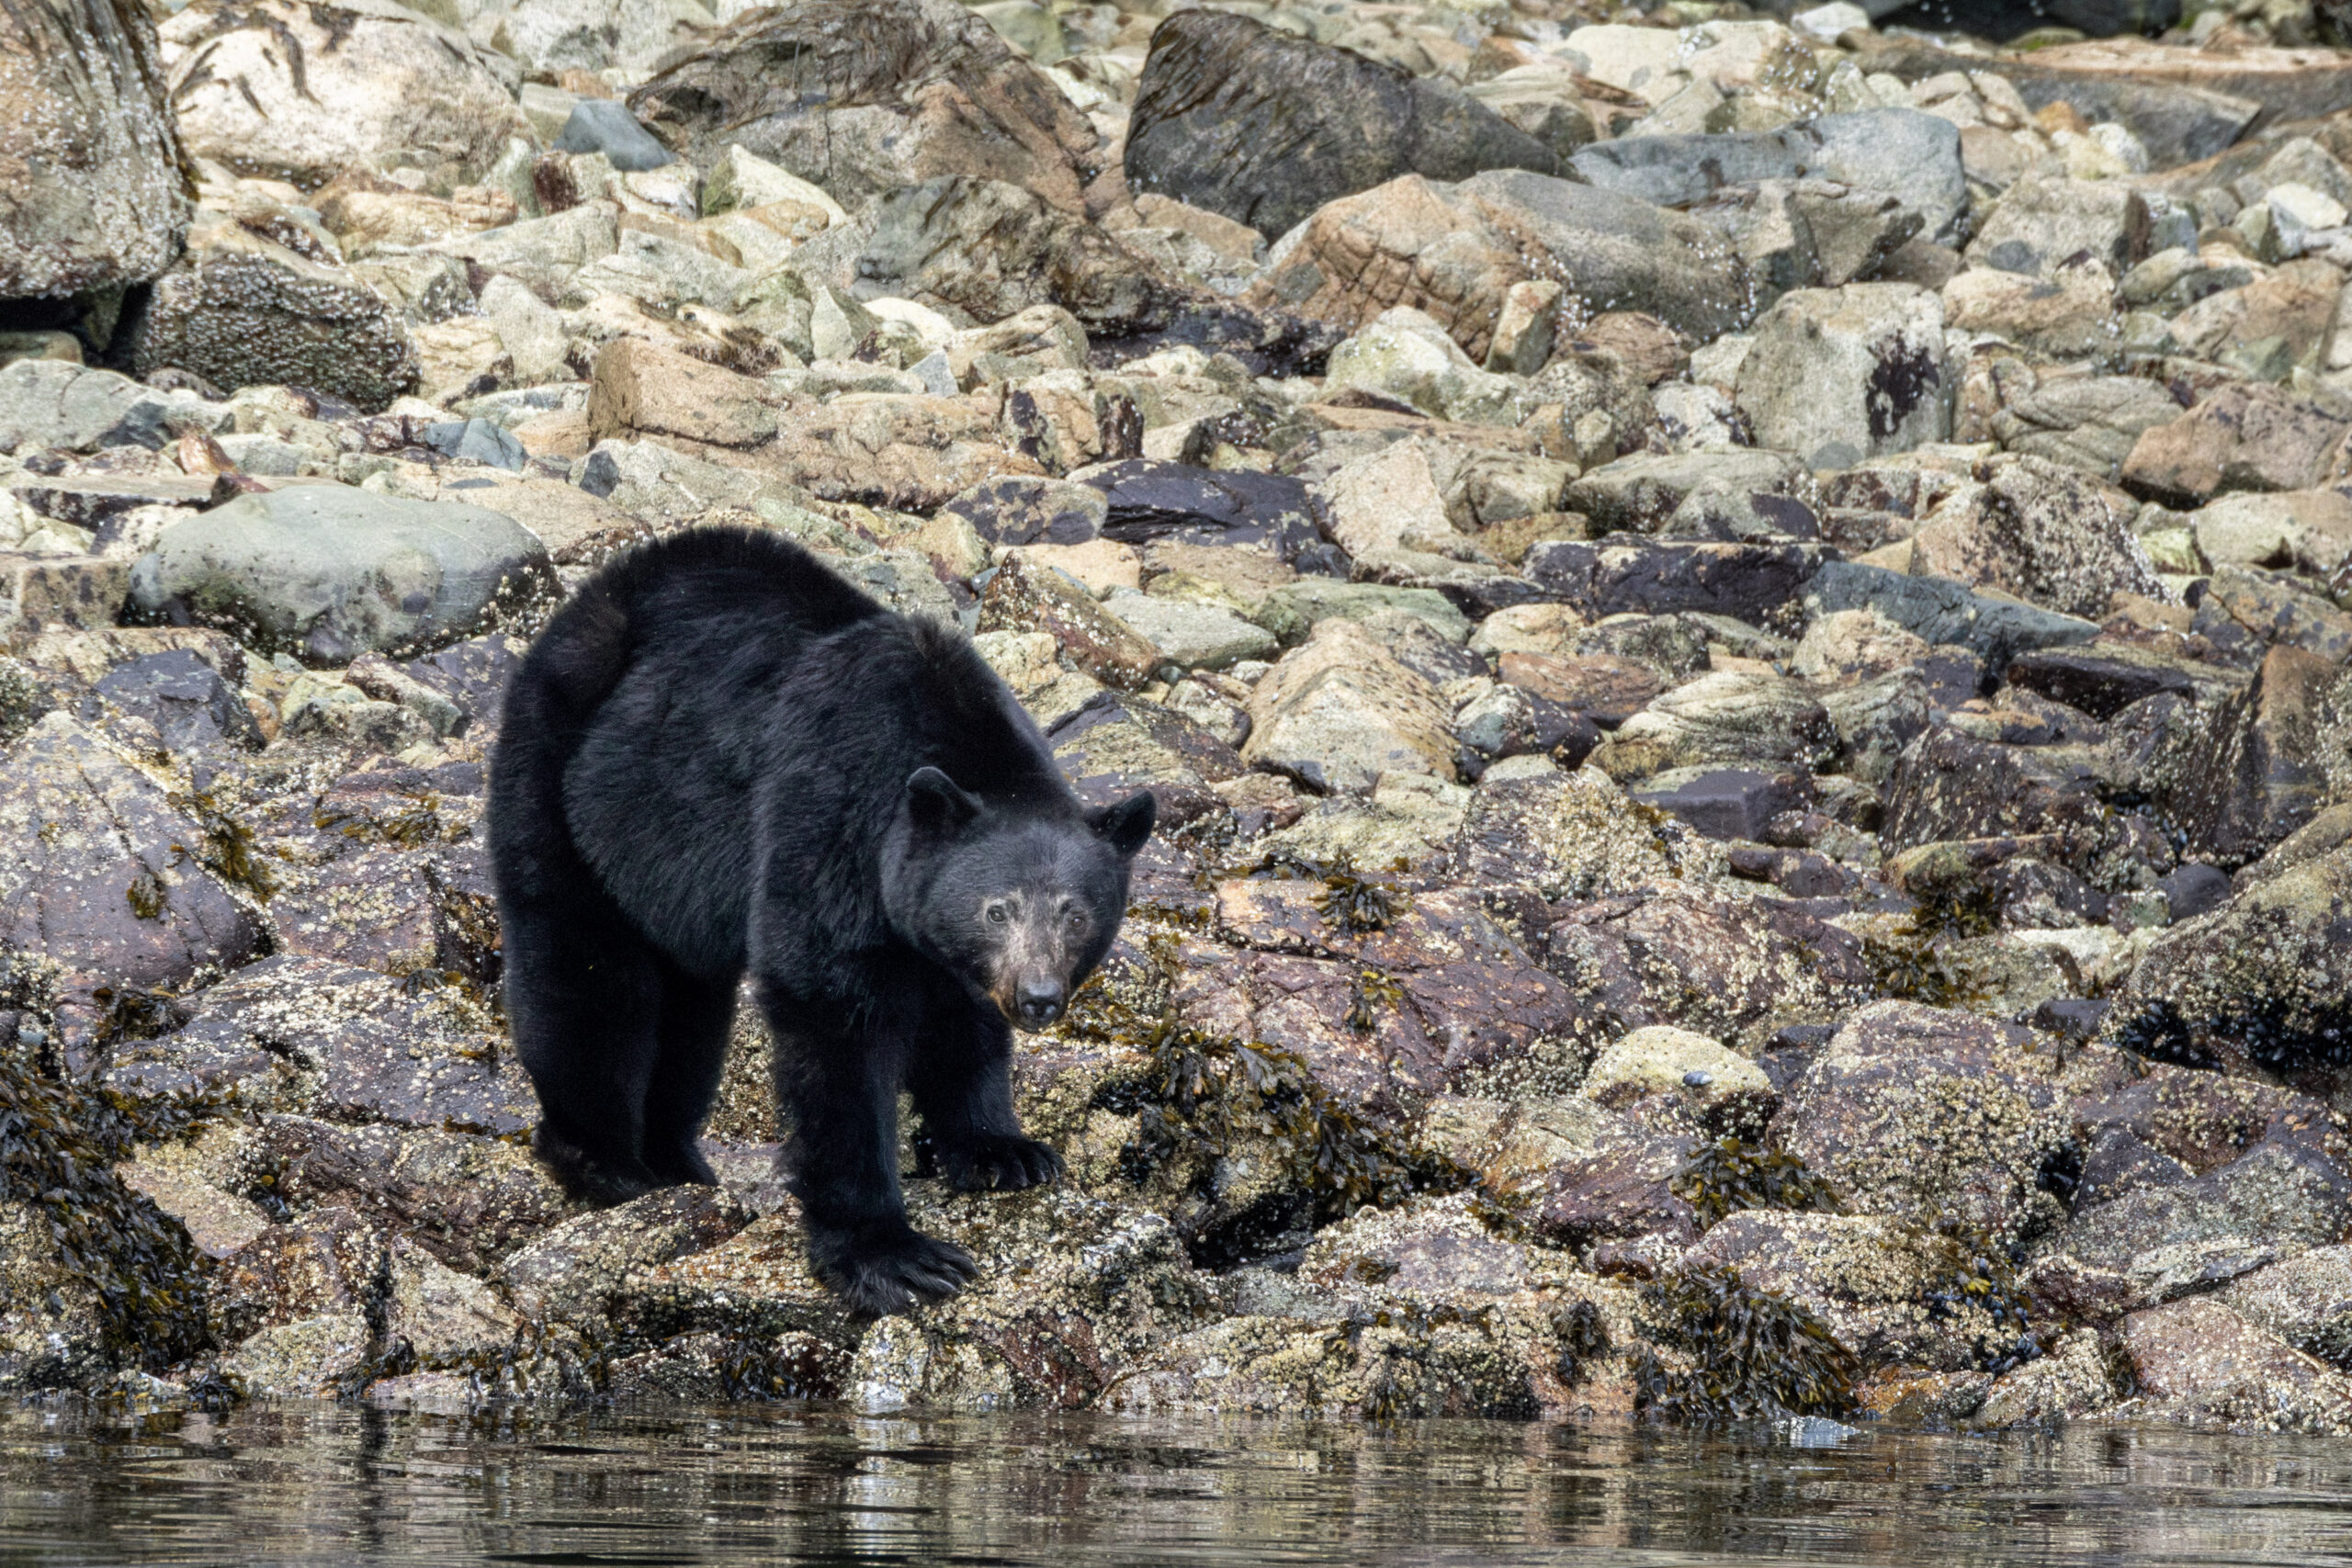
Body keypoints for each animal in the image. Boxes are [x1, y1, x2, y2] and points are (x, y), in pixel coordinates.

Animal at [486, 527, 1156, 1314]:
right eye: (997, 908)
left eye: (1077, 915)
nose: (1039, 997)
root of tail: (596, 593)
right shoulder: (830, 818)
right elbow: (835, 1023)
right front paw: (891, 1253)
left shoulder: (939, 942)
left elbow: (962, 1023)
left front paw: (1003, 1150)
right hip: (569, 782)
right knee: (587, 975)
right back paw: (607, 1161)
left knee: (691, 1013)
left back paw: (677, 1157)